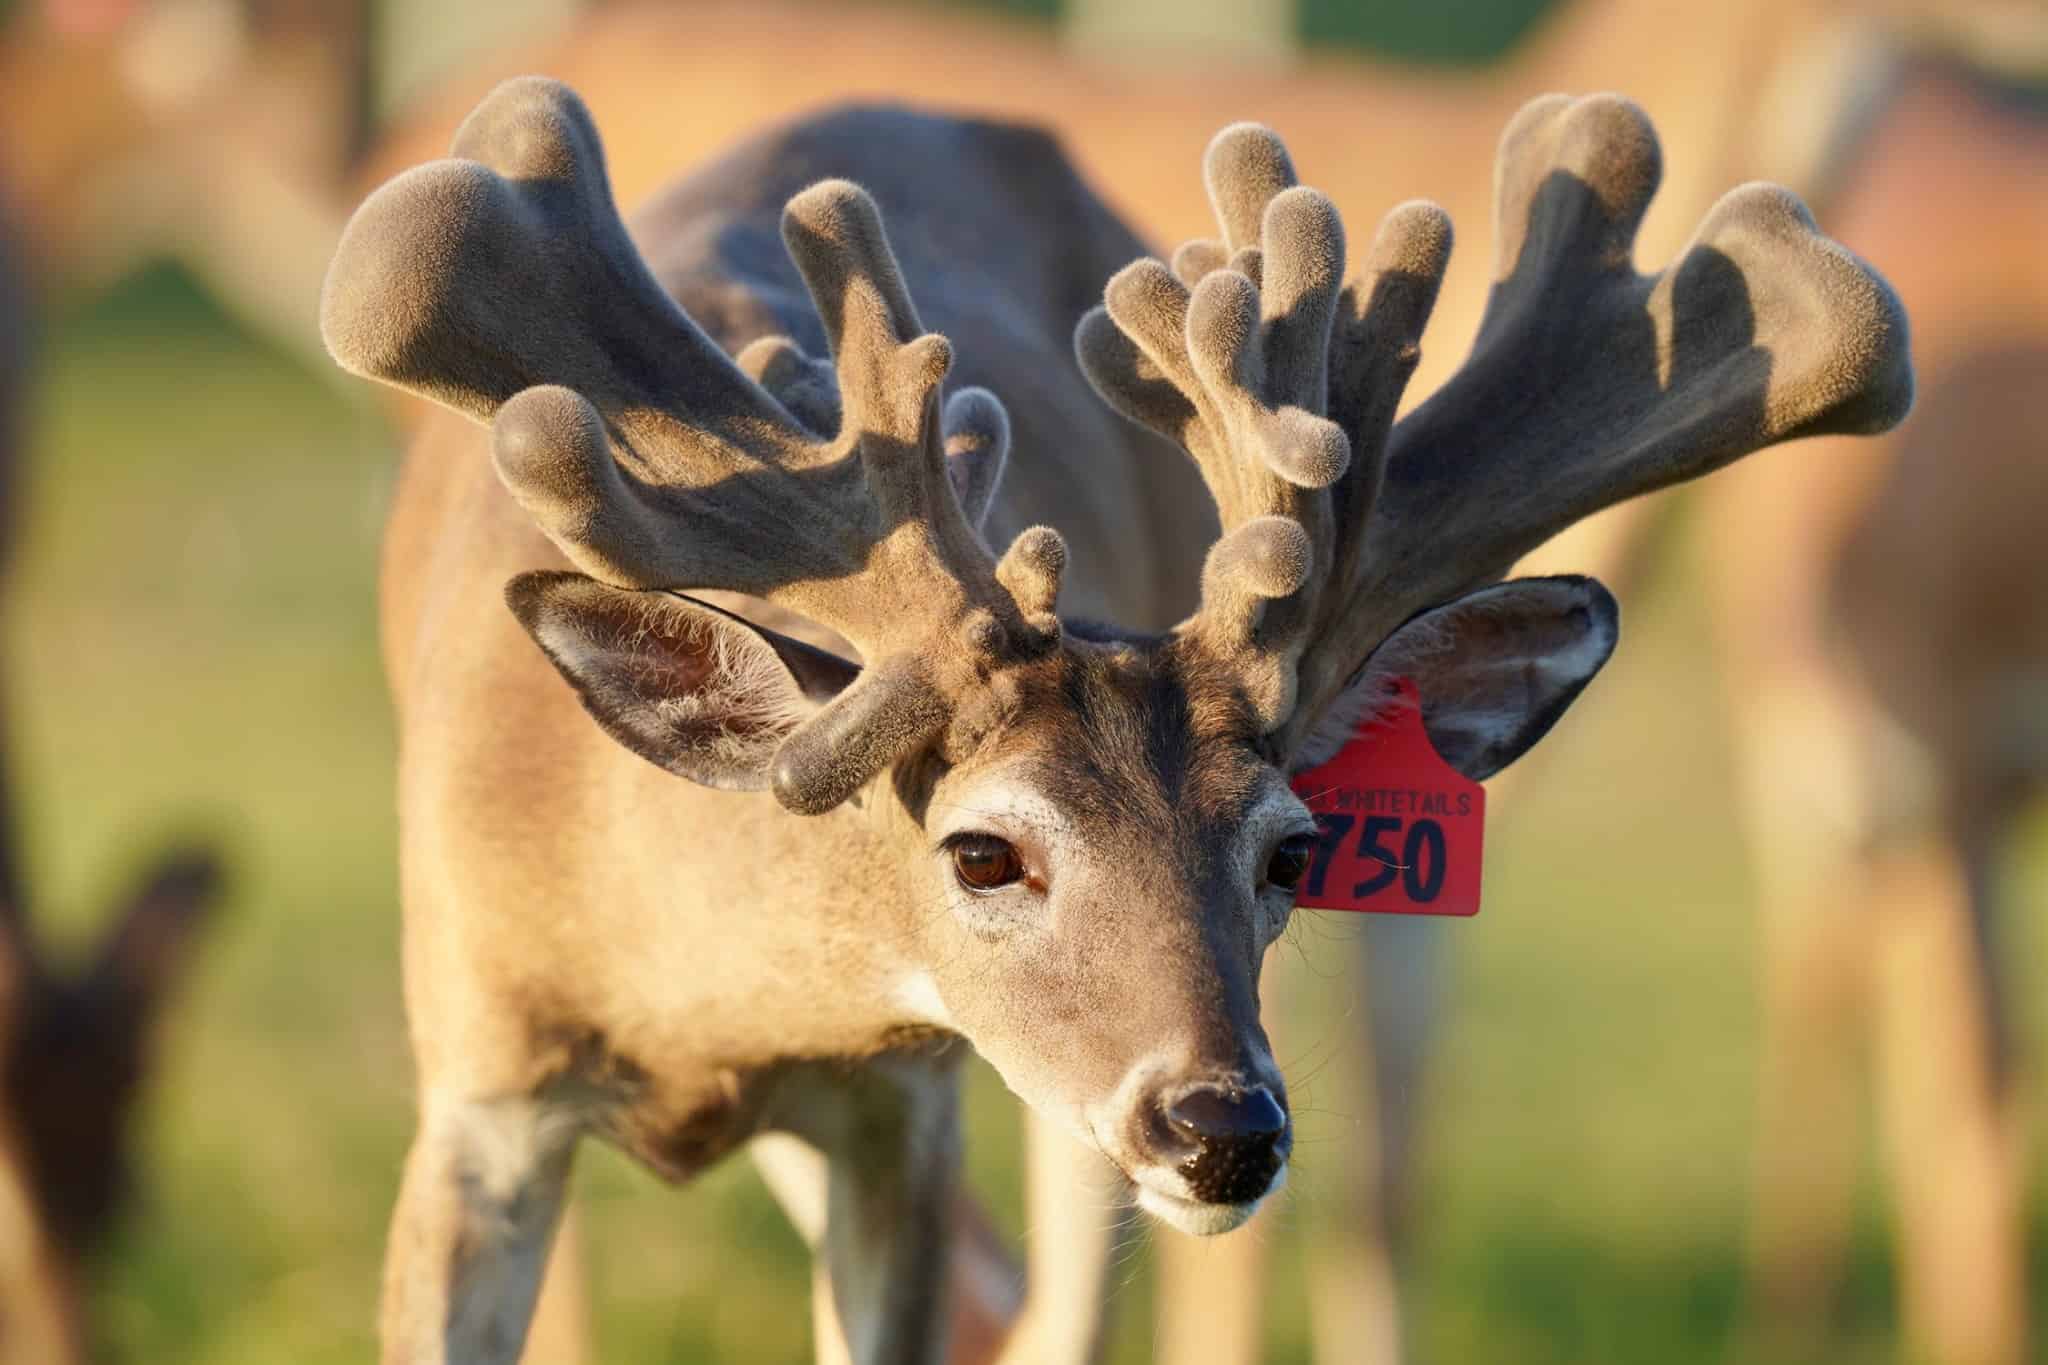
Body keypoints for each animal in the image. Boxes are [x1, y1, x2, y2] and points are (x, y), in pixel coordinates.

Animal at [321, 71, 1911, 1363]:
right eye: (981, 851)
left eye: (1291, 851)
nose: (1223, 1132)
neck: (693, 1008)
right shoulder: (475, 1088)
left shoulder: (907, 1107)